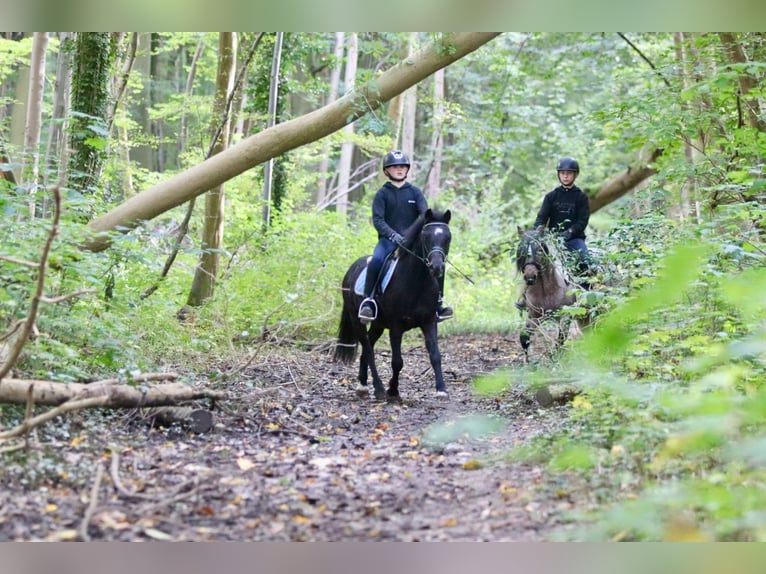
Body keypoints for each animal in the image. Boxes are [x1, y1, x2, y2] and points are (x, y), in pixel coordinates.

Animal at [334, 209, 450, 402]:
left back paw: (363, 385)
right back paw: (379, 388)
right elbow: (397, 362)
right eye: (426, 236)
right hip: (357, 320)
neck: (417, 282)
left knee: (368, 348)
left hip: (378, 324)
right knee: (368, 349)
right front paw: (393, 391)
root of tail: (352, 268)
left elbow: (435, 355)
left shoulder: (429, 322)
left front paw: (441, 389)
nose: (437, 267)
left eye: (448, 237)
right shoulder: (396, 326)